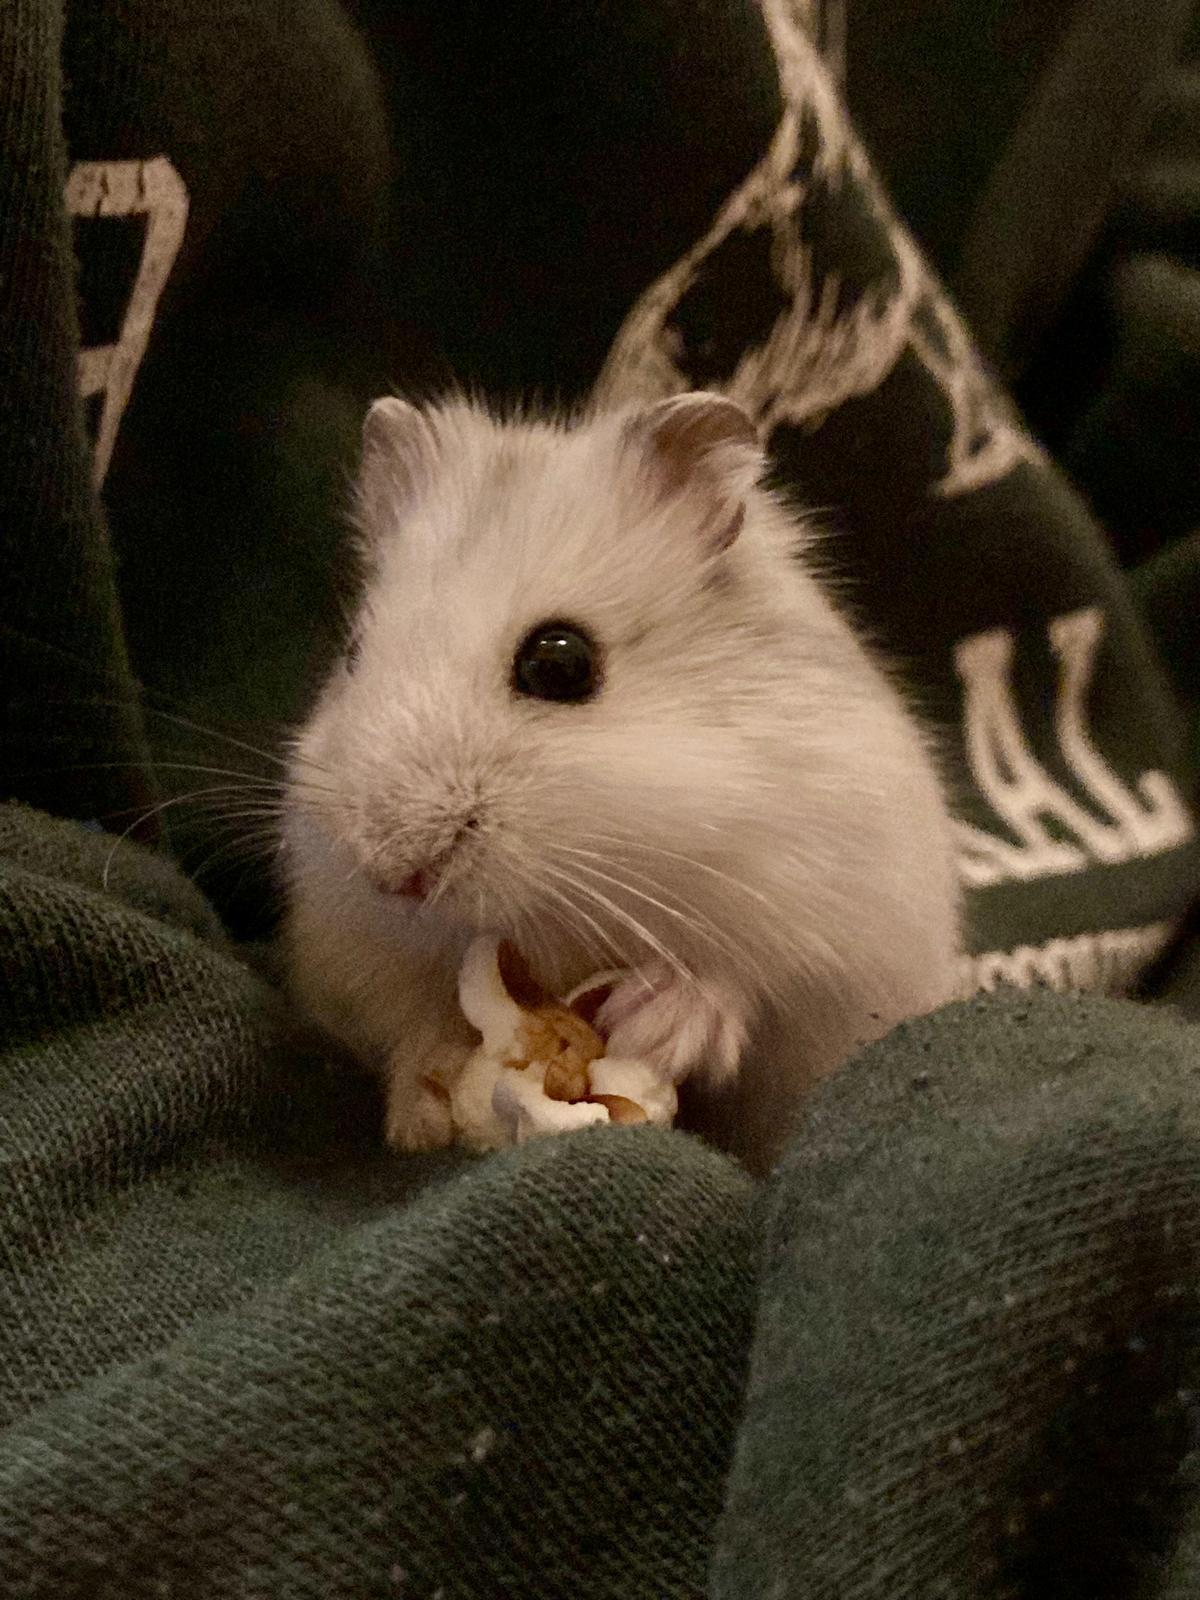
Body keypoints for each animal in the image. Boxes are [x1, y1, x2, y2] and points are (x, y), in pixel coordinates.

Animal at [280, 391, 961, 1173]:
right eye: (353, 652)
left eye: (561, 662)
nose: (394, 876)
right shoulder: (352, 947)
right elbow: (407, 1018)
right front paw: (421, 1120)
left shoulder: (835, 926)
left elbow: (744, 983)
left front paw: (651, 1022)